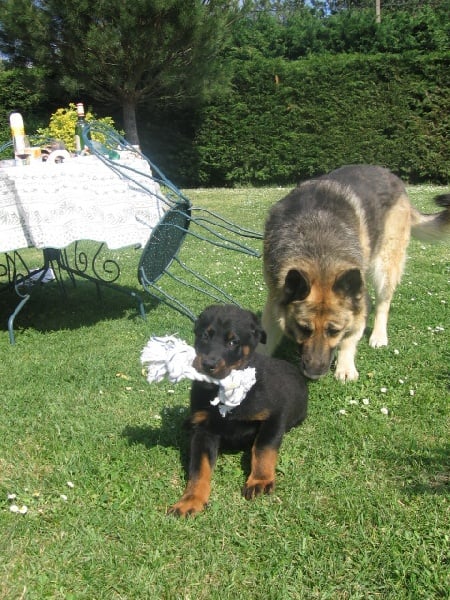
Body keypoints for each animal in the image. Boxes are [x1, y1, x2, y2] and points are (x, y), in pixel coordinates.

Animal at [167, 304, 308, 516]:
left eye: (233, 342)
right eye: (204, 336)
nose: (208, 364)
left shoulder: (275, 416)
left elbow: (263, 448)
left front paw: (260, 480)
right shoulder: (204, 430)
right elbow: (199, 468)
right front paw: (191, 499)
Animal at [262, 165, 448, 380]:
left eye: (334, 331)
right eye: (304, 329)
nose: (315, 372)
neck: (320, 256)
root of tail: (391, 175)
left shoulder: (357, 305)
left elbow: (349, 338)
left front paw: (345, 366)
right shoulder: (275, 298)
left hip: (384, 266)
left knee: (383, 304)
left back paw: (379, 336)